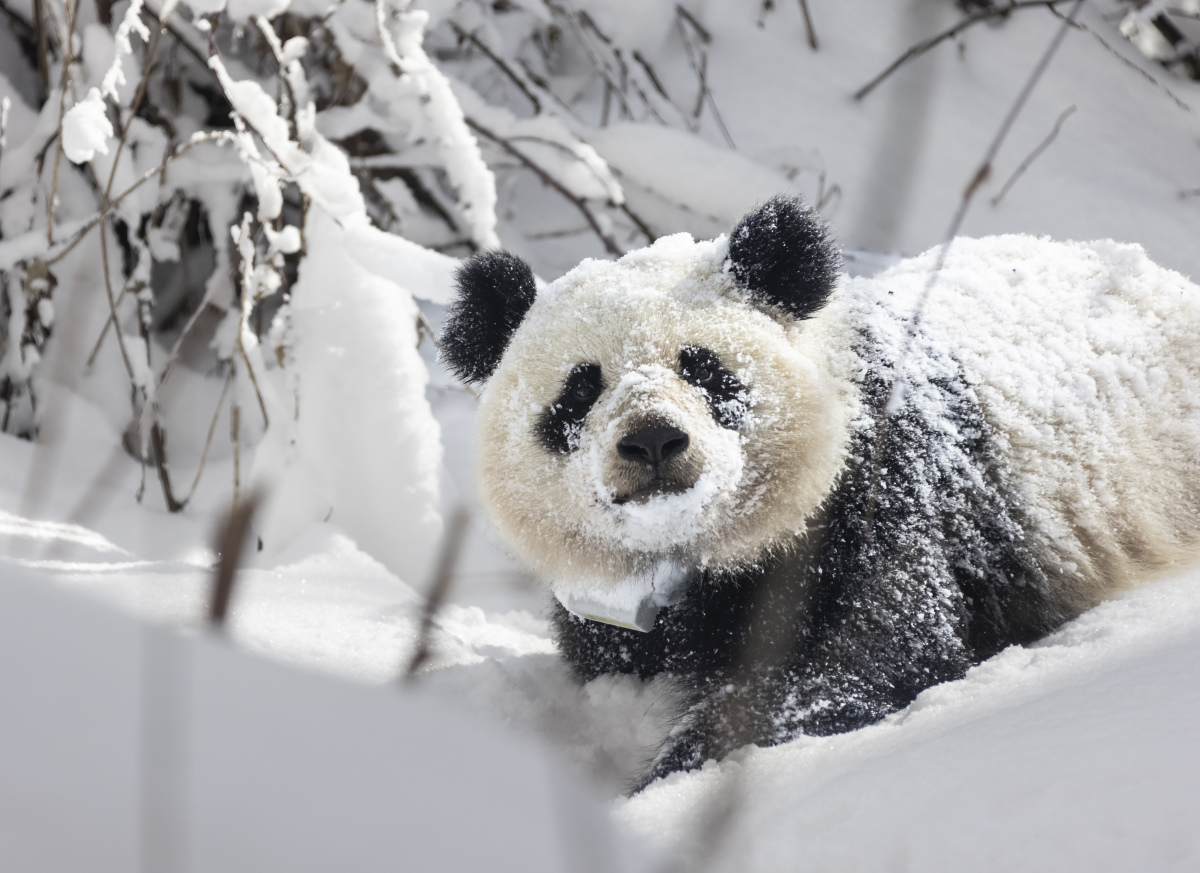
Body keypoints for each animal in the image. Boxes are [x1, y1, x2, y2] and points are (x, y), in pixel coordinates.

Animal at [440, 195, 1200, 790]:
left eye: (704, 367)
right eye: (580, 388)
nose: (653, 441)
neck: (691, 549)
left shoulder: (866, 500)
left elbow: (852, 663)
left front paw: (669, 783)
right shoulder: (606, 607)